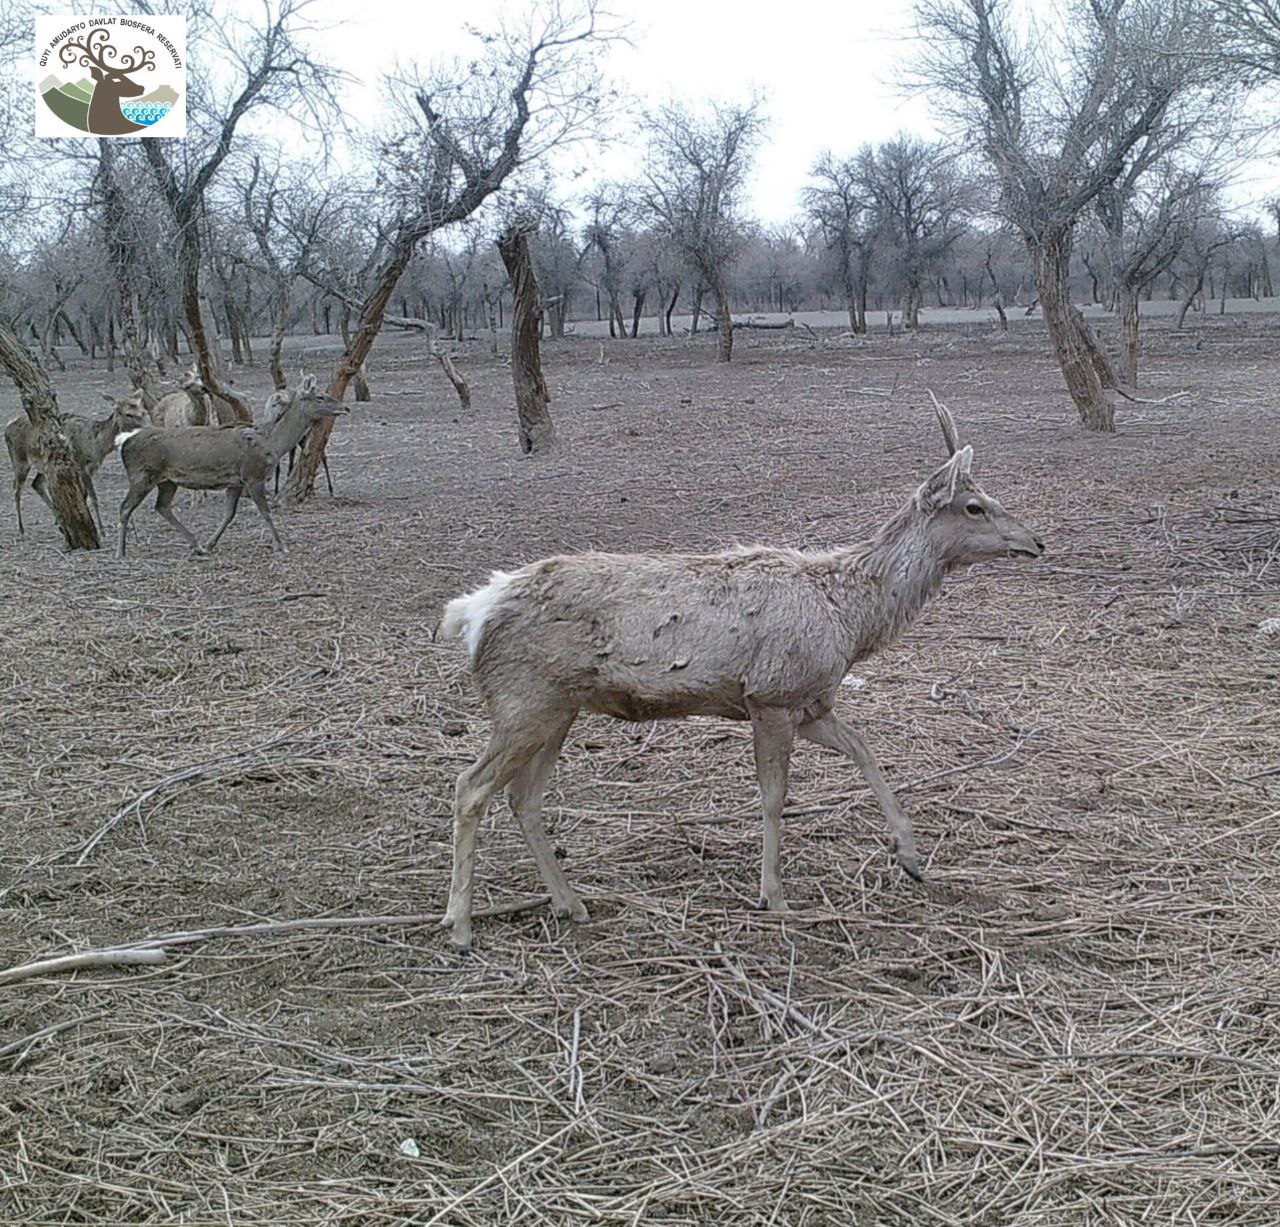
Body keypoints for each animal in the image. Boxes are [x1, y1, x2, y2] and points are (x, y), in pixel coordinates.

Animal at [6, 388, 147, 532]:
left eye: (143, 412)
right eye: (128, 414)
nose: (145, 428)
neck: (96, 444)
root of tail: (8, 427)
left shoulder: (91, 468)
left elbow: (84, 496)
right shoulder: (82, 465)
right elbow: (93, 497)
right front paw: (101, 530)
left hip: (46, 465)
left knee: (36, 484)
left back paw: (59, 522)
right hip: (19, 459)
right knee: (16, 490)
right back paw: (21, 529)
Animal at [114, 381, 343, 557]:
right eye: (320, 396)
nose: (344, 407)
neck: (272, 444)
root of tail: (124, 440)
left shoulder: (235, 482)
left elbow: (228, 514)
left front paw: (209, 544)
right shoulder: (253, 475)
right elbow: (265, 512)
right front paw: (281, 546)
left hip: (167, 480)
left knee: (162, 507)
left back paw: (197, 545)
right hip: (141, 475)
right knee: (125, 507)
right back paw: (120, 552)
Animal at [437, 404, 1039, 951]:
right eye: (974, 505)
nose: (1036, 541)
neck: (848, 620)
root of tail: (471, 612)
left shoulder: (810, 703)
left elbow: (865, 751)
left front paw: (910, 855)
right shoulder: (771, 694)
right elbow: (774, 796)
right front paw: (774, 894)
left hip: (557, 707)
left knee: (523, 798)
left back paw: (570, 904)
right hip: (524, 699)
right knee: (471, 787)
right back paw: (460, 926)